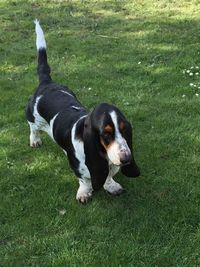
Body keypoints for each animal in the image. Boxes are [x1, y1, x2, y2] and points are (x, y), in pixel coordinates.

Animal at [25, 21, 140, 204]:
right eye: (106, 134)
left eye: (124, 130)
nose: (127, 159)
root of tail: (47, 83)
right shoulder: (78, 166)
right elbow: (84, 180)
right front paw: (84, 193)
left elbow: (109, 176)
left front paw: (111, 186)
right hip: (32, 116)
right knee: (33, 128)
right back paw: (35, 140)